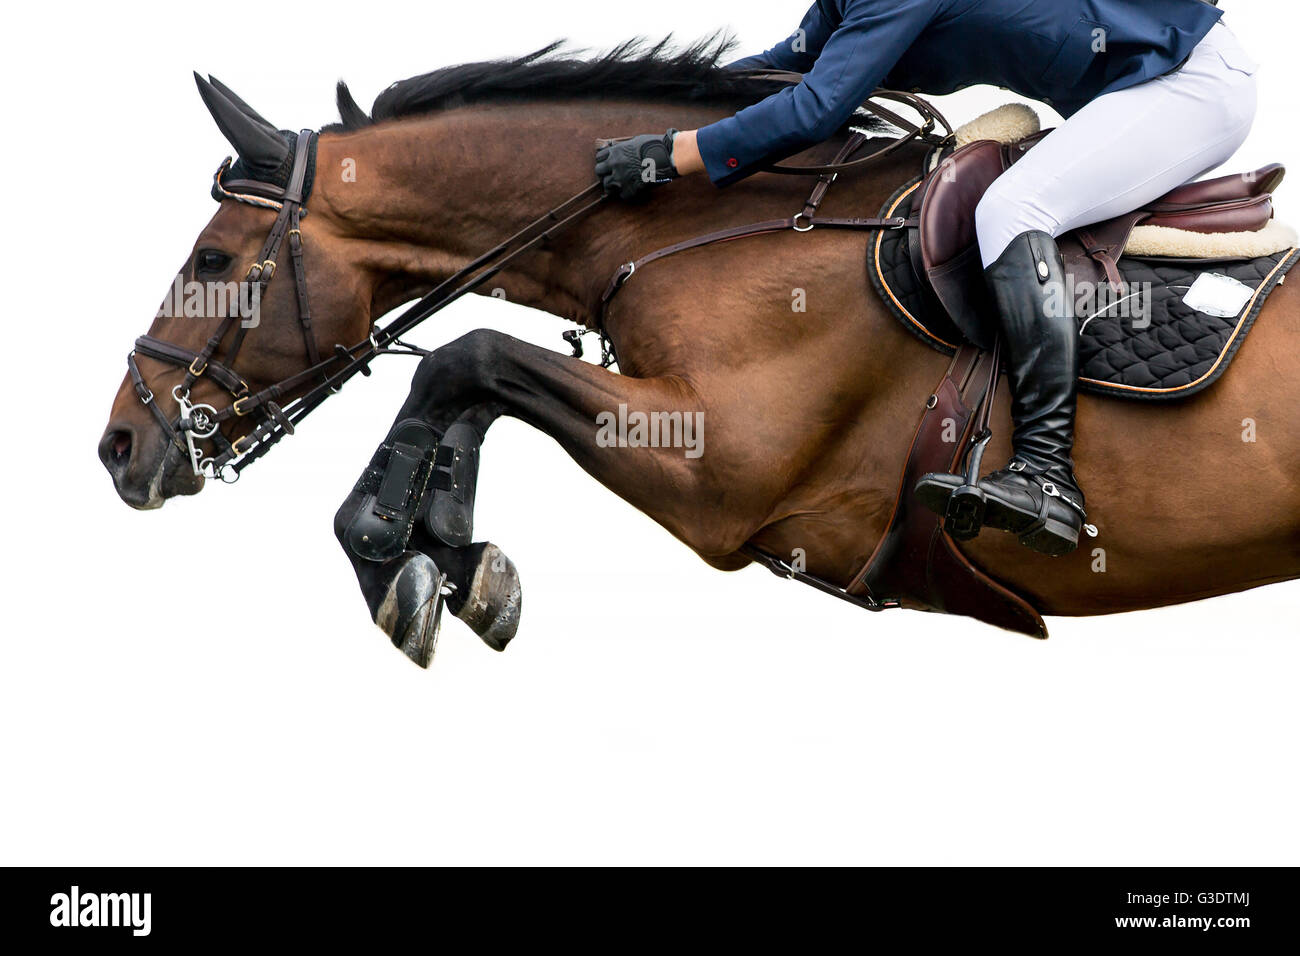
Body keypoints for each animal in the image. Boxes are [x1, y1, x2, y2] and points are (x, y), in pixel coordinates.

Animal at [98, 39, 1300, 665]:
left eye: (214, 255)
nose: (120, 446)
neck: (716, 224)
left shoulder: (723, 471)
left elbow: (468, 356)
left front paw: (395, 556)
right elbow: (475, 378)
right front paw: (444, 556)